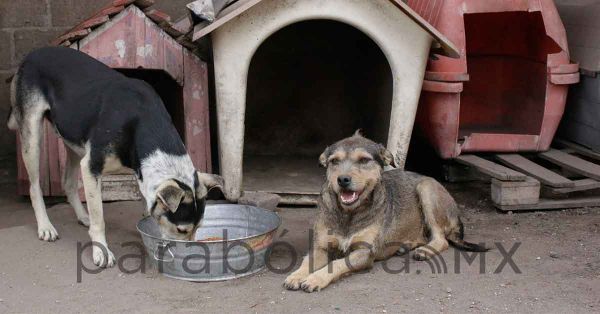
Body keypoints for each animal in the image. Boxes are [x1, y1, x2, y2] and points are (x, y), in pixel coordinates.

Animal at [7, 46, 223, 268]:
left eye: (199, 227)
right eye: (181, 229)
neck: (143, 119)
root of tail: (33, 53)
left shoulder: (138, 171)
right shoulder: (91, 166)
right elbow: (99, 219)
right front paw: (101, 251)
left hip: (74, 141)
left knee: (68, 182)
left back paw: (83, 216)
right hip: (33, 136)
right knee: (34, 187)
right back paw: (45, 226)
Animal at [284, 131, 486, 292]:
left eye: (364, 160)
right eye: (334, 161)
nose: (342, 180)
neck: (348, 214)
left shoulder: (363, 253)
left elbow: (336, 263)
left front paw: (315, 278)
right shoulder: (321, 246)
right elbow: (307, 261)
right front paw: (297, 275)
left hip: (426, 188)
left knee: (441, 239)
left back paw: (424, 250)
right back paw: (406, 245)